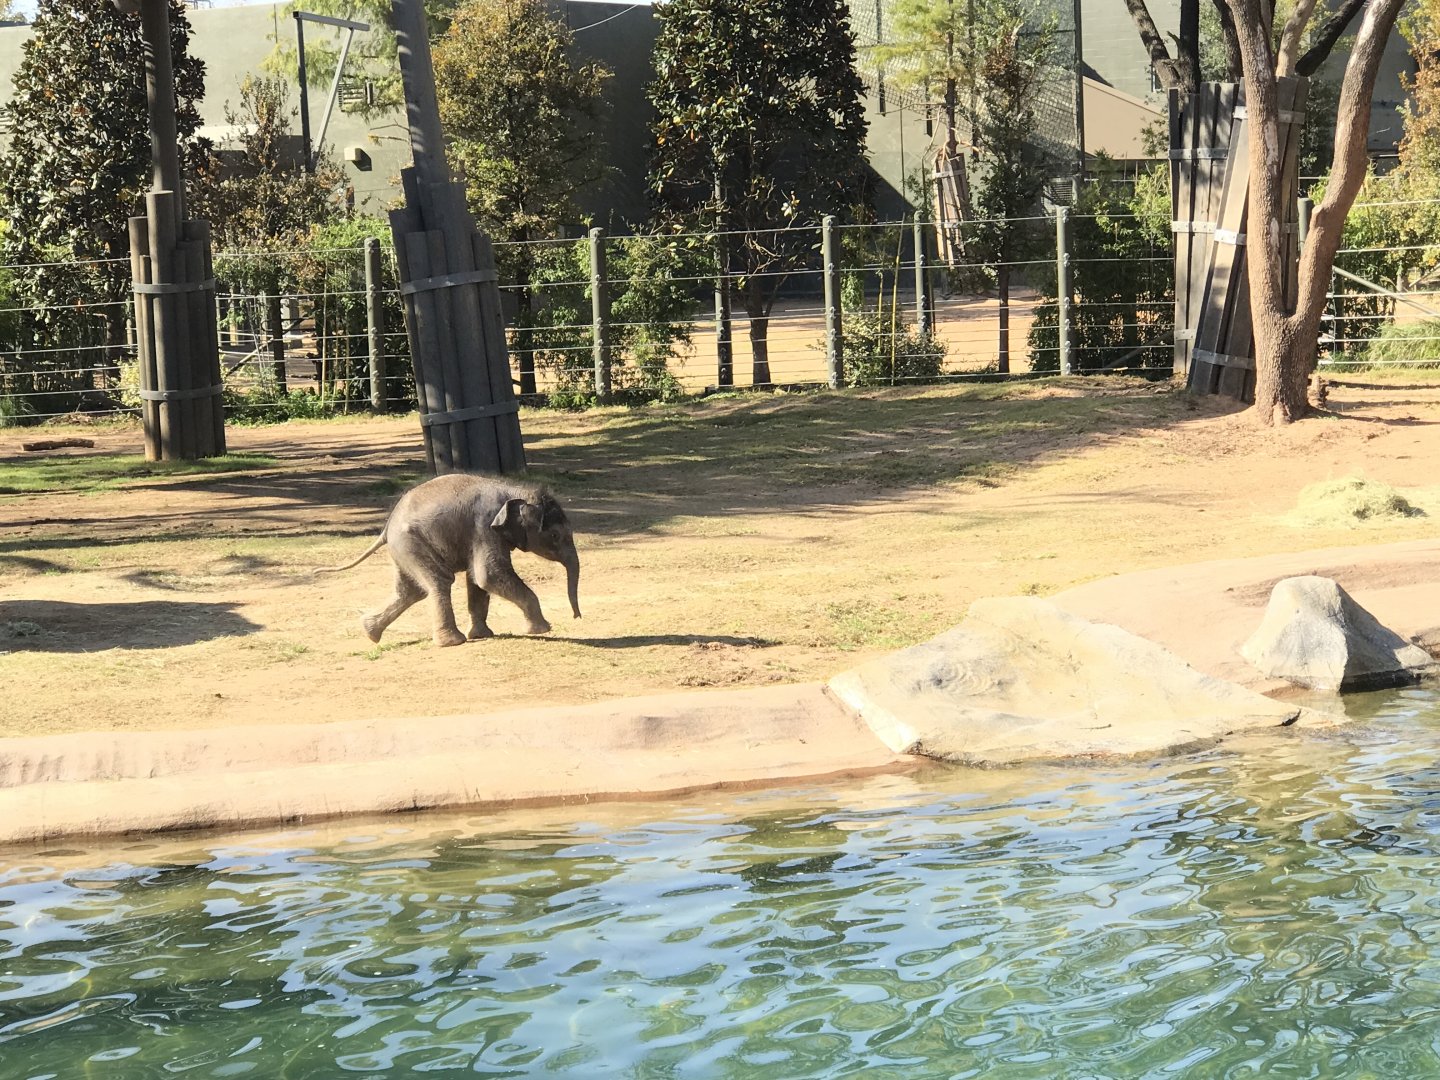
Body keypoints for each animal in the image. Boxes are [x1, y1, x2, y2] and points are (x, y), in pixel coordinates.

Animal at [317, 473, 581, 647]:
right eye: (555, 535)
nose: (577, 617)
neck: (517, 492)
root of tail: (386, 528)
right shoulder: (484, 526)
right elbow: (489, 574)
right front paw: (542, 630)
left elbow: (477, 579)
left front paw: (483, 635)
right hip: (413, 544)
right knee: (439, 582)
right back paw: (452, 642)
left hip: (405, 550)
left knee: (410, 591)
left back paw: (371, 633)